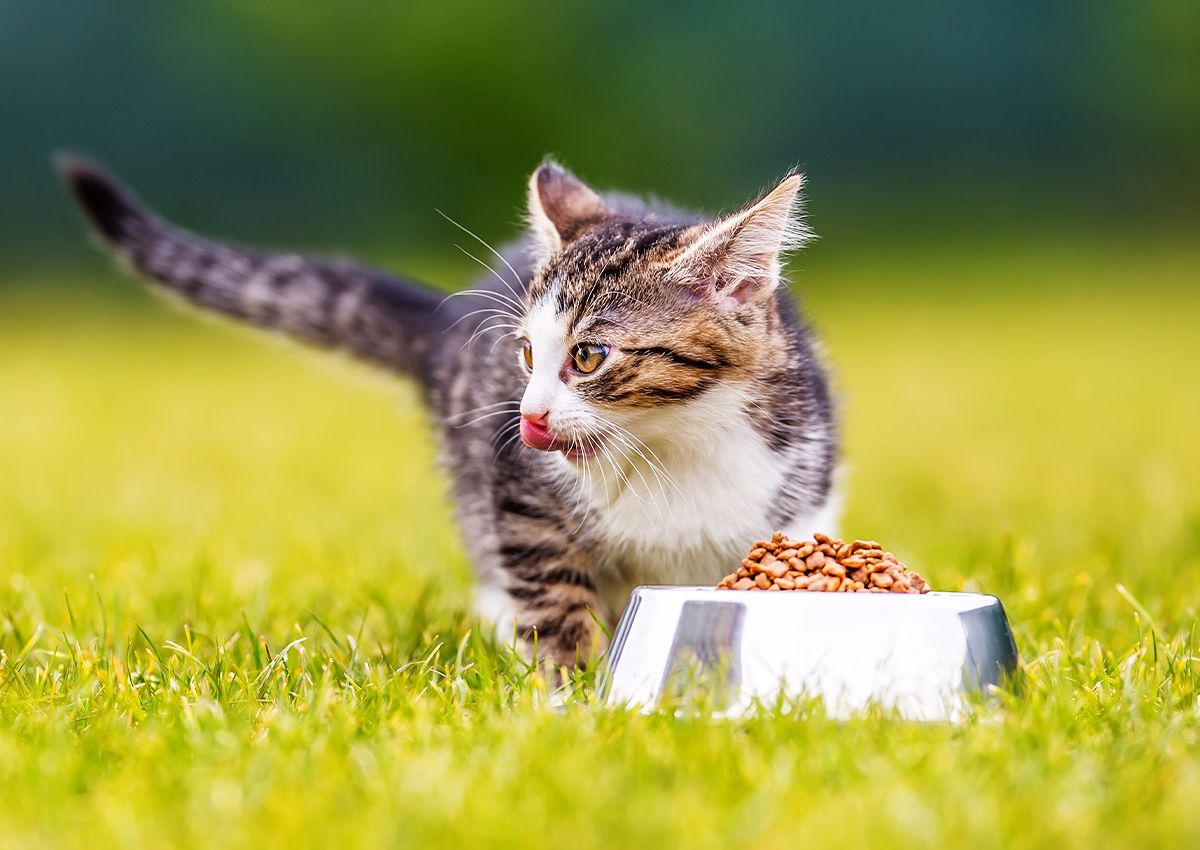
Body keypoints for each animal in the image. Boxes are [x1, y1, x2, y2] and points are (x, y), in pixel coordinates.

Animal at [60, 156, 840, 667]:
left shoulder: (800, 488)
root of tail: (444, 324)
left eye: (589, 356)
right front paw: (571, 701)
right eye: (525, 354)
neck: (671, 443)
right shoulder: (522, 499)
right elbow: (553, 601)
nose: (528, 417)